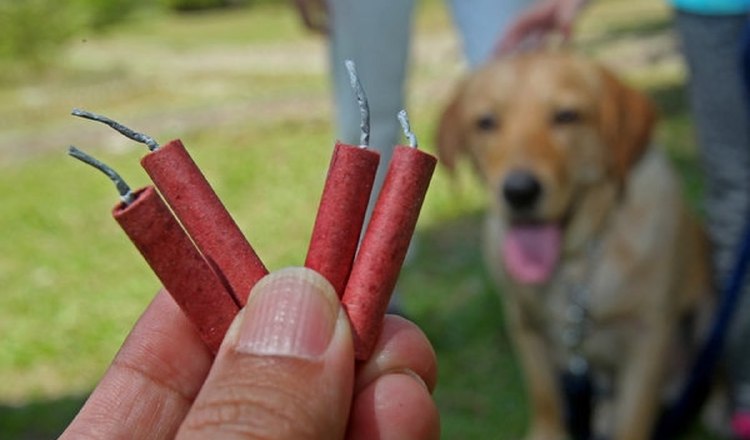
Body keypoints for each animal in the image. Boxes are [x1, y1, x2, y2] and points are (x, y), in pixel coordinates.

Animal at [438, 52, 720, 440]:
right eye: (486, 122)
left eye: (567, 115)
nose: (520, 192)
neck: (573, 262)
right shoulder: (524, 324)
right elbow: (545, 398)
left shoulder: (647, 339)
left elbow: (633, 421)